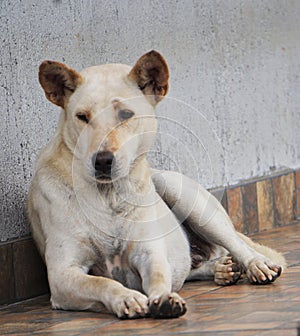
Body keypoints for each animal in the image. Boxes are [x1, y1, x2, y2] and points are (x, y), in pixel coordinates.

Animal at [28, 51, 286, 318]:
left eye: (125, 114)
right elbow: (102, 282)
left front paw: (163, 298)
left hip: (185, 197)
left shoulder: (149, 253)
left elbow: (160, 275)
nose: (102, 161)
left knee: (236, 244)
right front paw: (127, 297)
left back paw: (257, 264)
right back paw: (220, 270)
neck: (110, 195)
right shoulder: (62, 274)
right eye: (82, 117)